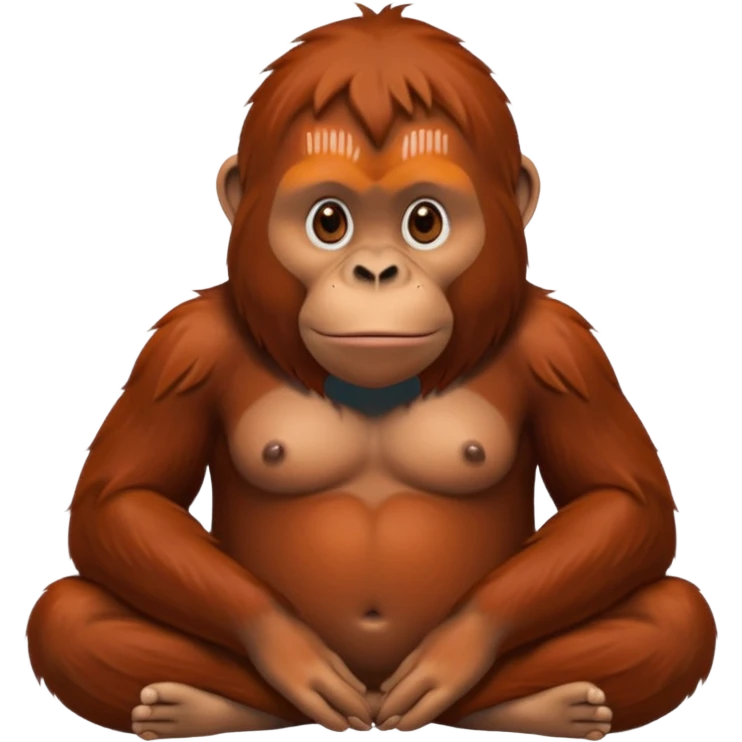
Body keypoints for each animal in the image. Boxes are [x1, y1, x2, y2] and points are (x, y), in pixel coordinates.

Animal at [25, 4, 717, 741]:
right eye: (329, 220)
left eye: (425, 222)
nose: (377, 271)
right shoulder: (185, 349)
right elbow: (118, 502)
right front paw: (287, 648)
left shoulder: (561, 351)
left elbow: (626, 502)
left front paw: (458, 648)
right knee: (64, 614)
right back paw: (193, 702)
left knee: (679, 613)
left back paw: (553, 703)